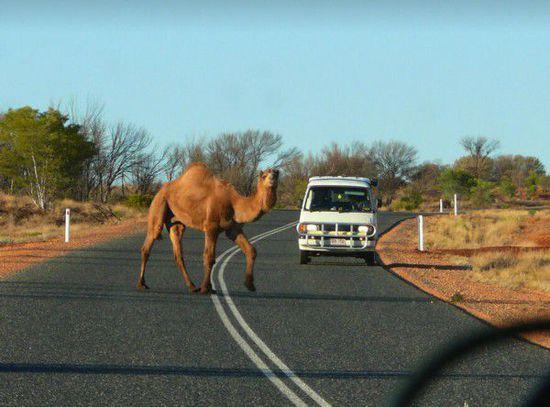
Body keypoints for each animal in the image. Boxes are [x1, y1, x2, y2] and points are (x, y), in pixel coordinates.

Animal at [136, 164, 278, 294]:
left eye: (276, 174)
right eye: (264, 176)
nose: (272, 180)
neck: (234, 203)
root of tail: (159, 190)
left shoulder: (233, 229)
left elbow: (251, 250)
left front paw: (250, 285)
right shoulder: (211, 227)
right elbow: (209, 257)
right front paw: (206, 288)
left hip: (175, 221)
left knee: (178, 251)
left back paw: (192, 286)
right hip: (158, 205)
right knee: (148, 243)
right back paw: (141, 284)